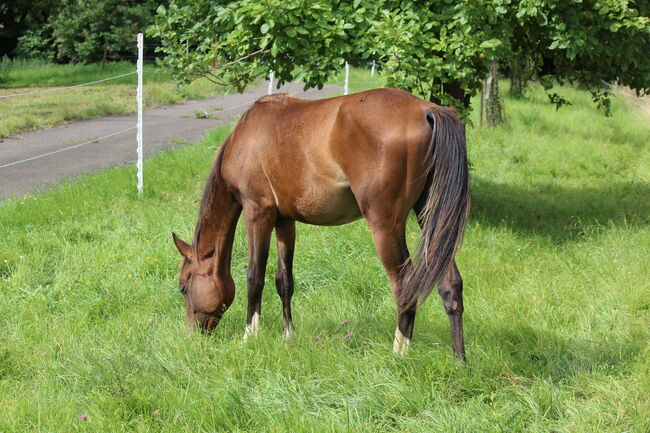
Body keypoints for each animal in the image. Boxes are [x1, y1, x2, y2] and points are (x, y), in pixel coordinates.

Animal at [171, 87, 466, 358]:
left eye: (183, 286)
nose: (191, 335)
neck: (245, 138)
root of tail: (427, 110)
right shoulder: (284, 221)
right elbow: (284, 280)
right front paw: (288, 336)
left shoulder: (257, 212)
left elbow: (254, 277)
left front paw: (249, 337)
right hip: (431, 217)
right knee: (449, 284)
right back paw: (459, 359)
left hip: (386, 226)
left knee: (405, 286)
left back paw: (399, 353)